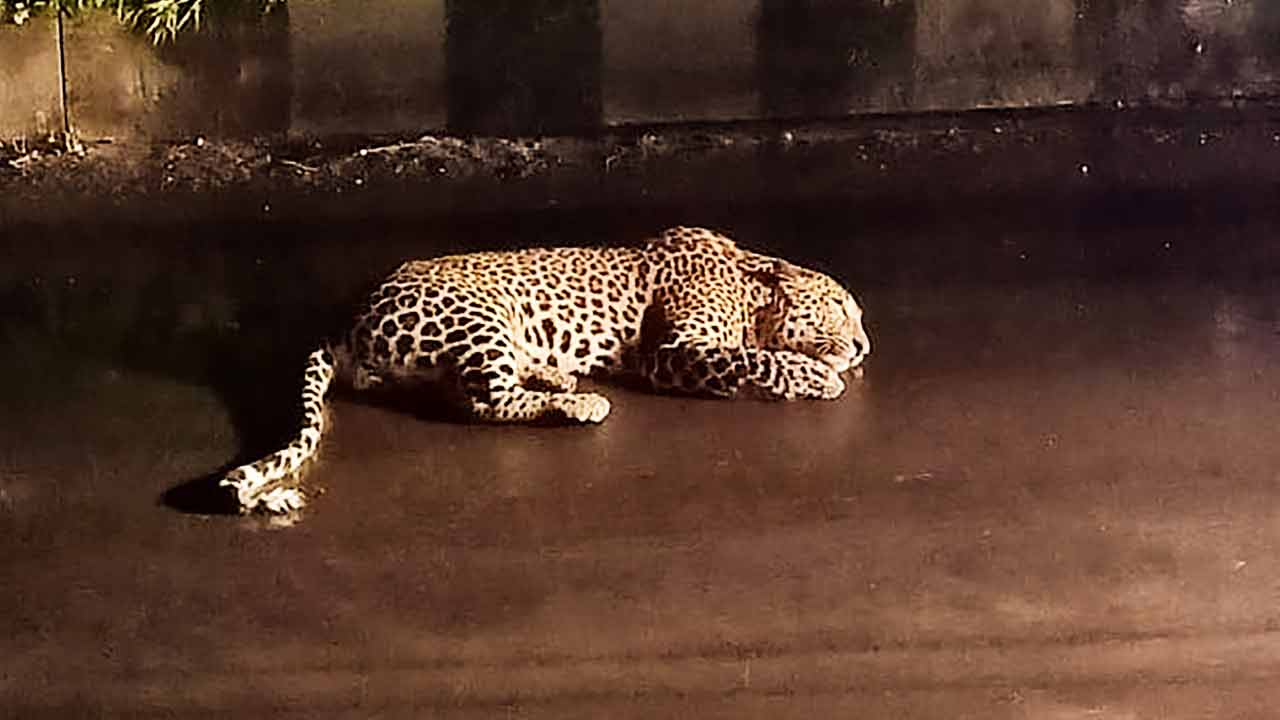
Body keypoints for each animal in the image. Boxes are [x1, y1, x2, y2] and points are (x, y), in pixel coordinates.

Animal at [220, 226, 871, 515]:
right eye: (842, 307)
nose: (865, 346)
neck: (746, 283)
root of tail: (350, 313)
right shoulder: (676, 350)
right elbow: (753, 360)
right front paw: (820, 375)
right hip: (478, 316)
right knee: (484, 401)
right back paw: (580, 402)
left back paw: (557, 376)